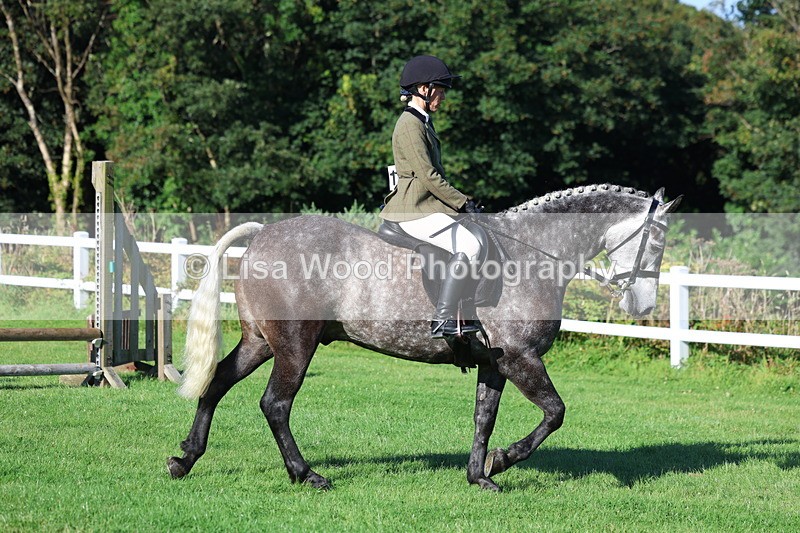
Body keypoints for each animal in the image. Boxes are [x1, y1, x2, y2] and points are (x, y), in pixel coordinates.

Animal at [167, 184, 681, 492]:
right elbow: (555, 413)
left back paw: (184, 459)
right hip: (295, 346)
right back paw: (307, 474)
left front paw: (480, 476)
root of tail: (262, 234)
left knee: (216, 383)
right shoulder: (520, 358)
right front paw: (503, 461)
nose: (643, 307)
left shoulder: (495, 362)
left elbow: (483, 418)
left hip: (259, 341)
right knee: (275, 404)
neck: (531, 255)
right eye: (656, 242)